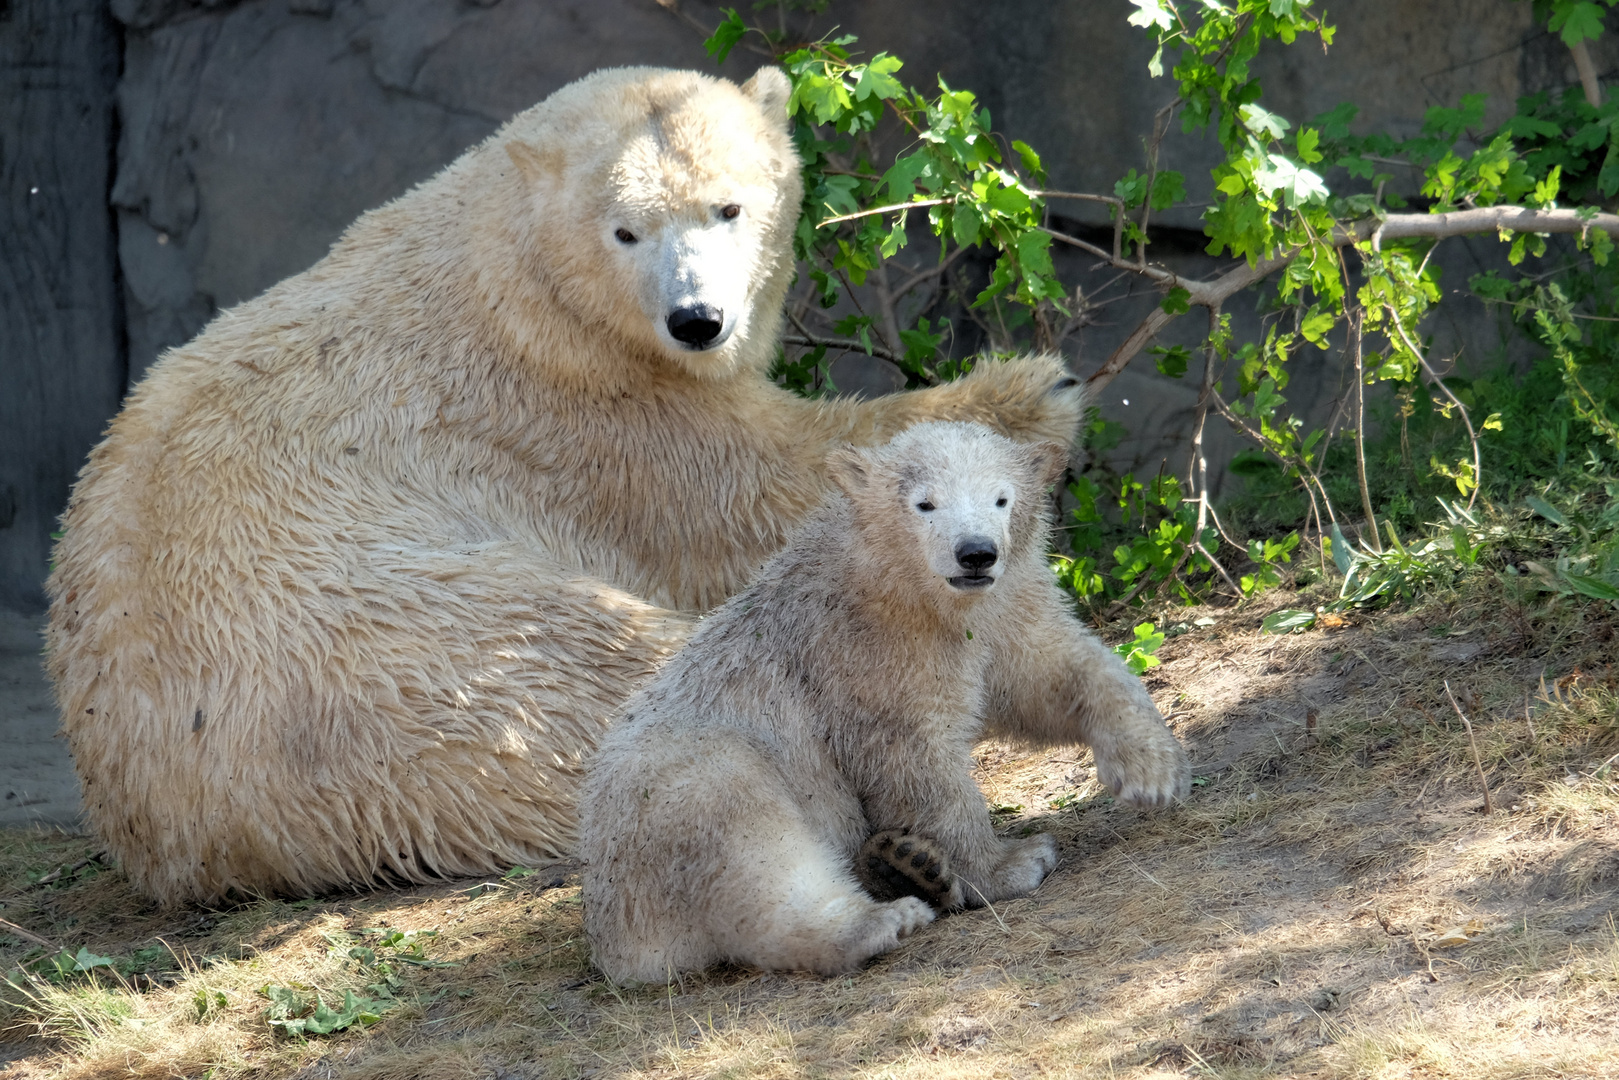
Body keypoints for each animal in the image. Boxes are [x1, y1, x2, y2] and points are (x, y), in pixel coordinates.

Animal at [50, 61, 1191, 906]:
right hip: (398, 653)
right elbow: (759, 488)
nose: (699, 319)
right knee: (599, 672)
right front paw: (1027, 387)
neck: (510, 266)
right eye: (625, 230)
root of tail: (190, 831)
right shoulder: (582, 409)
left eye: (729, 207)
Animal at [586, 424, 1191, 990]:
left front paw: (1152, 770)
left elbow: (1048, 674)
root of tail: (616, 939)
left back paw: (907, 863)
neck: (901, 583)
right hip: (672, 793)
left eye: (1001, 498)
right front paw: (1010, 865)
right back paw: (880, 919)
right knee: (749, 843)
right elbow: (913, 760)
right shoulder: (865, 652)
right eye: (925, 504)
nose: (976, 553)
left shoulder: (1001, 609)